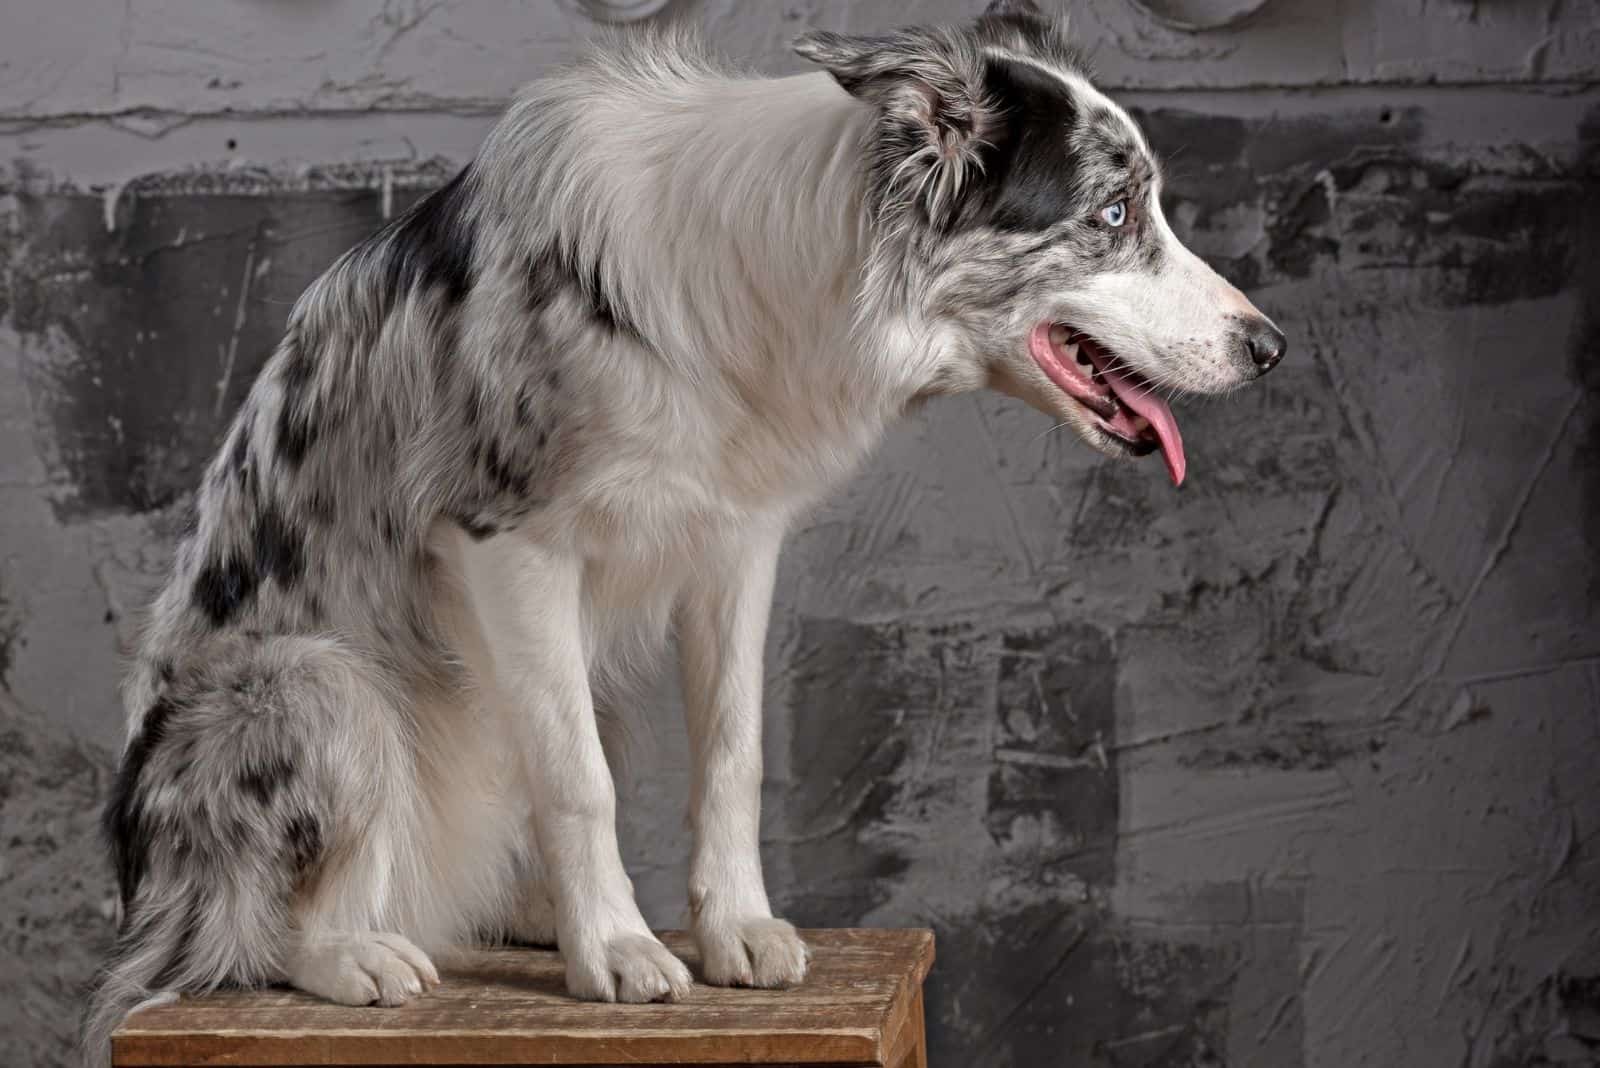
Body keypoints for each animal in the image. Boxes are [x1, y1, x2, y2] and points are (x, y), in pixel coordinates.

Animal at [84, 2, 1286, 1061]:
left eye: (1146, 207)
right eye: (1114, 215)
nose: (1269, 347)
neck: (791, 270)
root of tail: (149, 891)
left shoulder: (735, 548)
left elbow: (733, 756)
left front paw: (731, 932)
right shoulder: (508, 540)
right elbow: (582, 784)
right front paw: (615, 950)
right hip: (317, 684)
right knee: (245, 943)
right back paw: (360, 956)